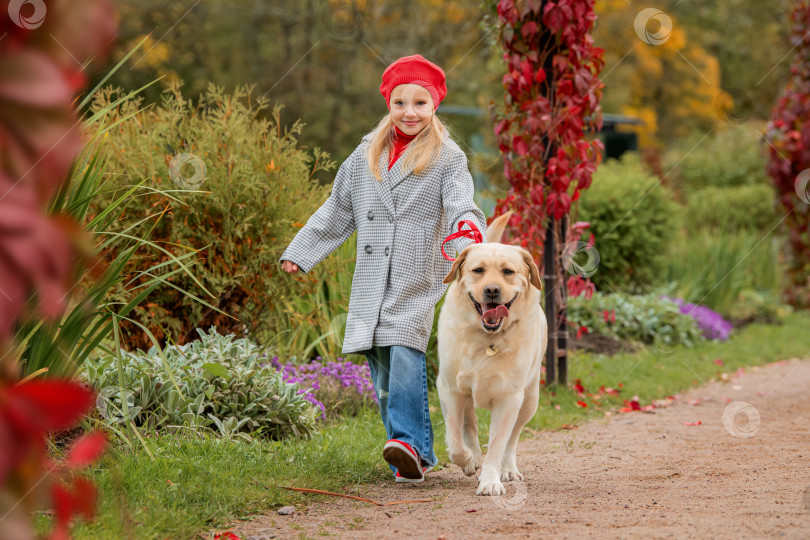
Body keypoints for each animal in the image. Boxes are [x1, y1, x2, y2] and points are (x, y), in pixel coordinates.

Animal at [438, 210, 548, 494]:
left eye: (508, 271)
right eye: (478, 270)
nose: (492, 290)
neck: (487, 339)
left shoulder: (509, 399)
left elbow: (499, 443)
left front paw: (490, 480)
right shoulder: (450, 389)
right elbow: (455, 440)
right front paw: (469, 460)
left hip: (529, 400)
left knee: (513, 438)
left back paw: (507, 469)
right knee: (470, 423)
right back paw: (474, 456)